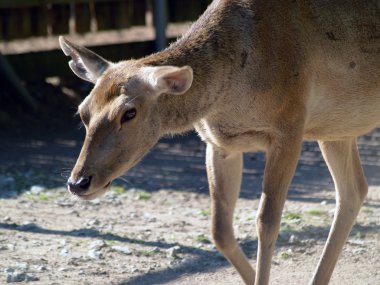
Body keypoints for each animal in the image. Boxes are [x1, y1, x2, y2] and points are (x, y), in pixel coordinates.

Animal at [58, 1, 378, 282]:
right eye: (83, 111)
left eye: (129, 112)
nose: (78, 182)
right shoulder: (220, 144)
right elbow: (219, 230)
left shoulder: (290, 126)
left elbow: (267, 221)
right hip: (336, 127)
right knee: (353, 190)